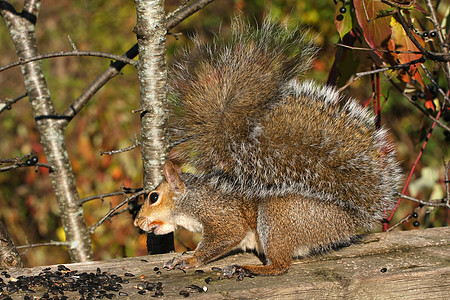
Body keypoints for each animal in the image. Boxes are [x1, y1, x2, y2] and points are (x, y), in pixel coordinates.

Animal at [133, 18, 400, 276]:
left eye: (154, 197)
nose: (138, 222)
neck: (191, 199)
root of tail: (346, 220)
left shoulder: (220, 214)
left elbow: (225, 236)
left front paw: (189, 260)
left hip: (277, 216)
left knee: (281, 266)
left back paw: (249, 268)